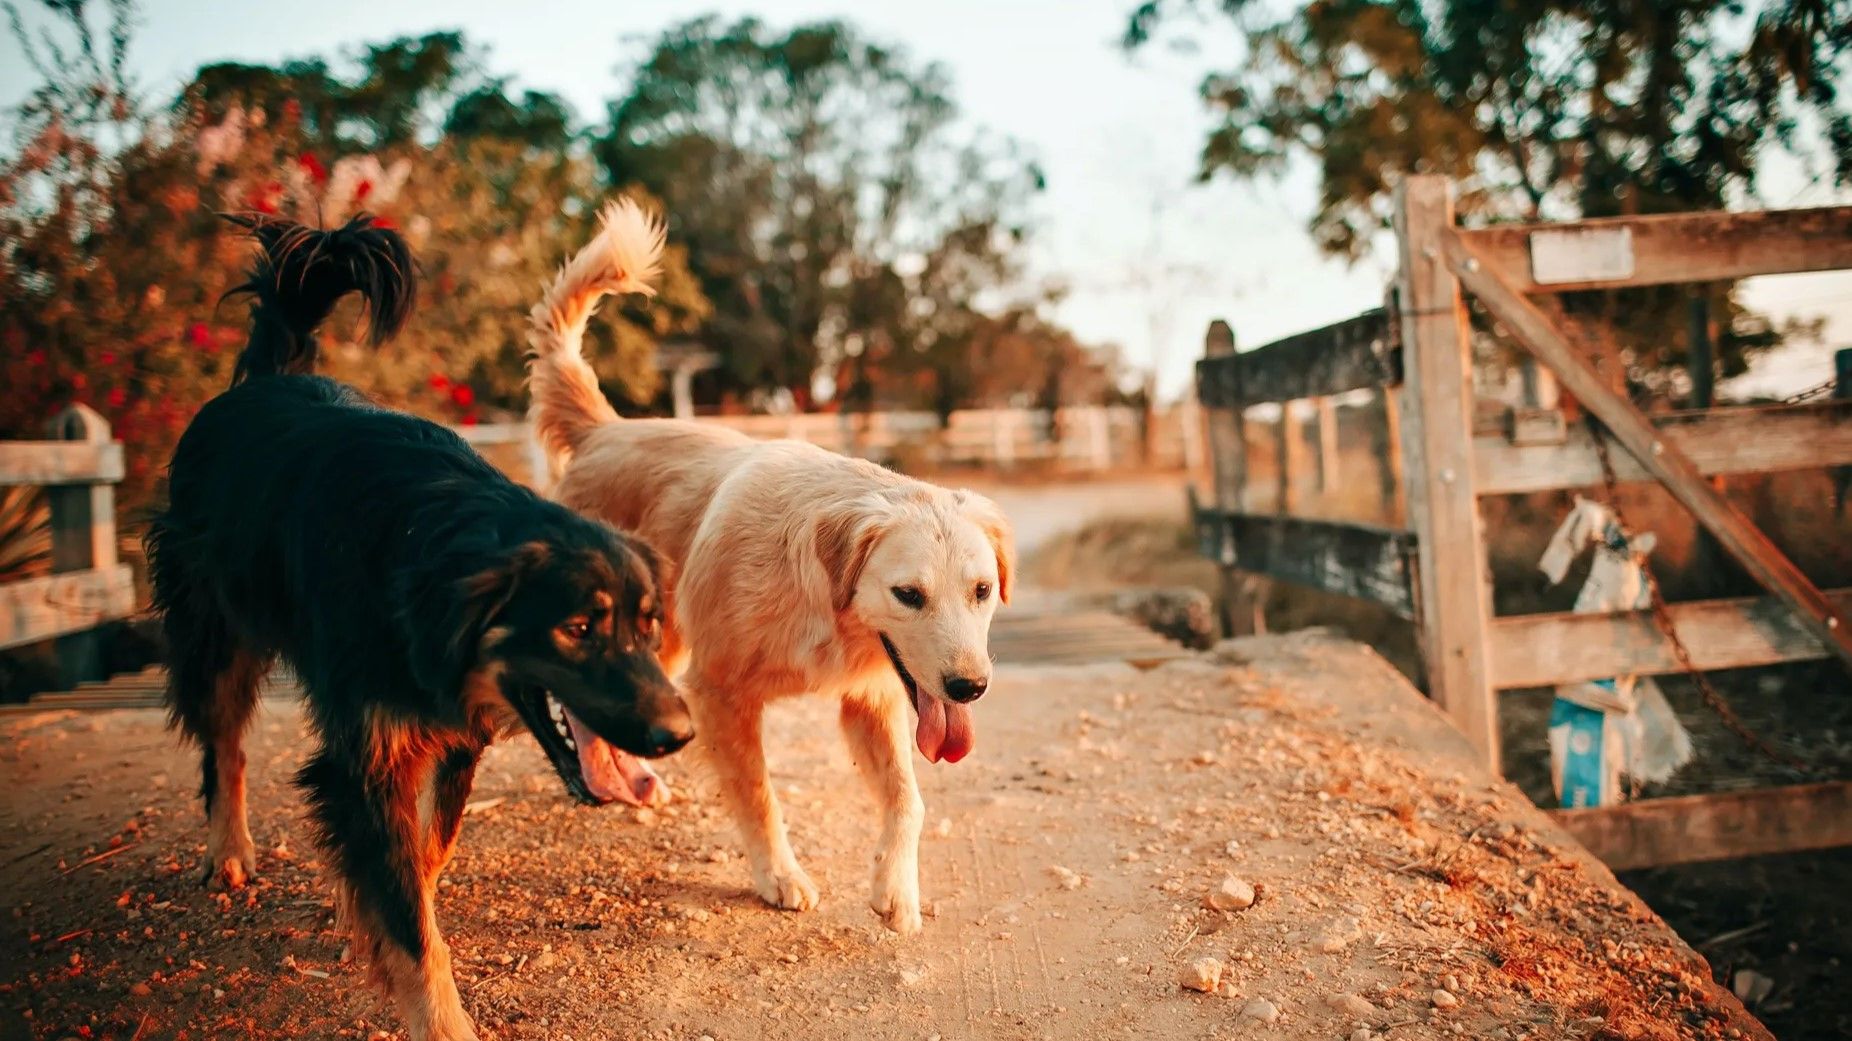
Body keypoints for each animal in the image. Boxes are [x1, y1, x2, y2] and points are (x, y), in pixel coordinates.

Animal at [150, 213, 696, 1037]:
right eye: (576, 629)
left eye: (648, 625)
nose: (680, 733)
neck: (428, 554)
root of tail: (266, 377)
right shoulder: (364, 757)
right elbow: (410, 921)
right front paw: (437, 1011)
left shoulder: (453, 733)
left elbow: (422, 862)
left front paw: (370, 912)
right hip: (216, 635)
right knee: (225, 746)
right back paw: (230, 849)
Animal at [522, 198, 1014, 926]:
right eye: (908, 594)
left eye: (981, 591)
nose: (969, 688)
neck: (821, 605)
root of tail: (604, 429)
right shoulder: (720, 693)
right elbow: (759, 796)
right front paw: (779, 874)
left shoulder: (871, 698)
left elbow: (909, 800)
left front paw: (895, 888)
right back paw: (606, 776)